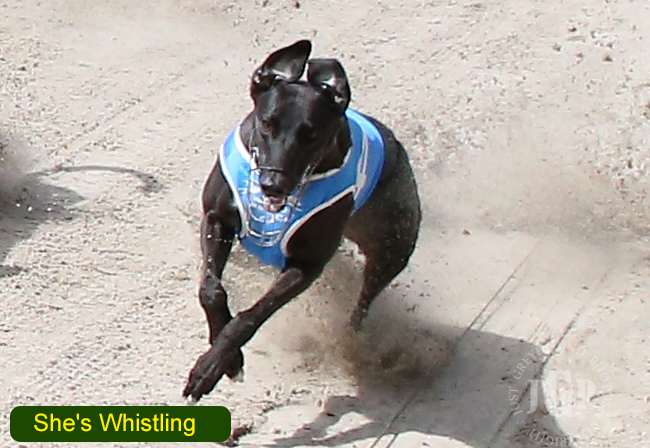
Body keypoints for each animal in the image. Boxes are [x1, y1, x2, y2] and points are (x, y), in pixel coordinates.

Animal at [183, 40, 422, 402]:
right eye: (267, 123)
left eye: (312, 135)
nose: (273, 185)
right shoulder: (217, 220)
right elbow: (211, 290)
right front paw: (226, 356)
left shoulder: (306, 265)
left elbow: (252, 315)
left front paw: (212, 366)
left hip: (392, 244)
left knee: (364, 300)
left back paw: (352, 343)